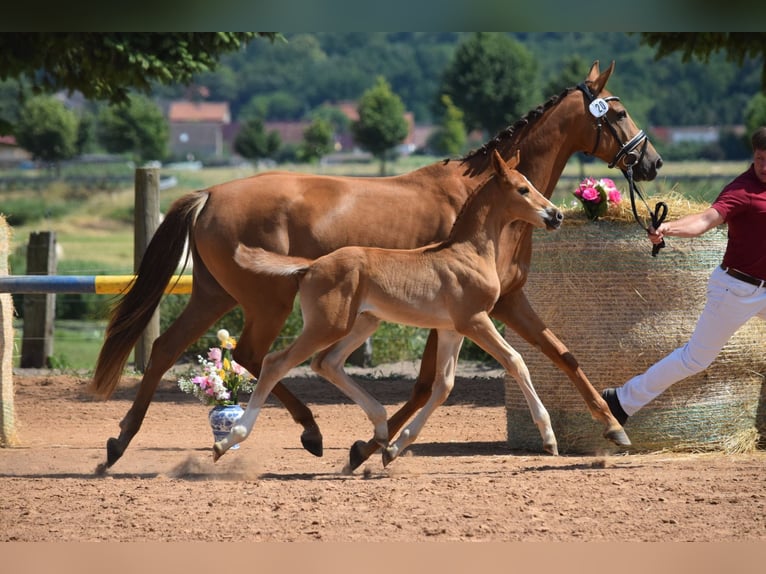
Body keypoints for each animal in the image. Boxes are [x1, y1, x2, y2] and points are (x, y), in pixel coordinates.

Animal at [213, 149, 563, 466]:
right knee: (276, 362)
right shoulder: (475, 321)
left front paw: (395, 448)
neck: (468, 252)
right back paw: (229, 440)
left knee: (327, 363)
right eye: (522, 189)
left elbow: (444, 385)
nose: (556, 215)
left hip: (363, 323)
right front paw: (549, 438)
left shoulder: (451, 329)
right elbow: (515, 361)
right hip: (328, 325)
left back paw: (381, 429)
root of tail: (311, 266)